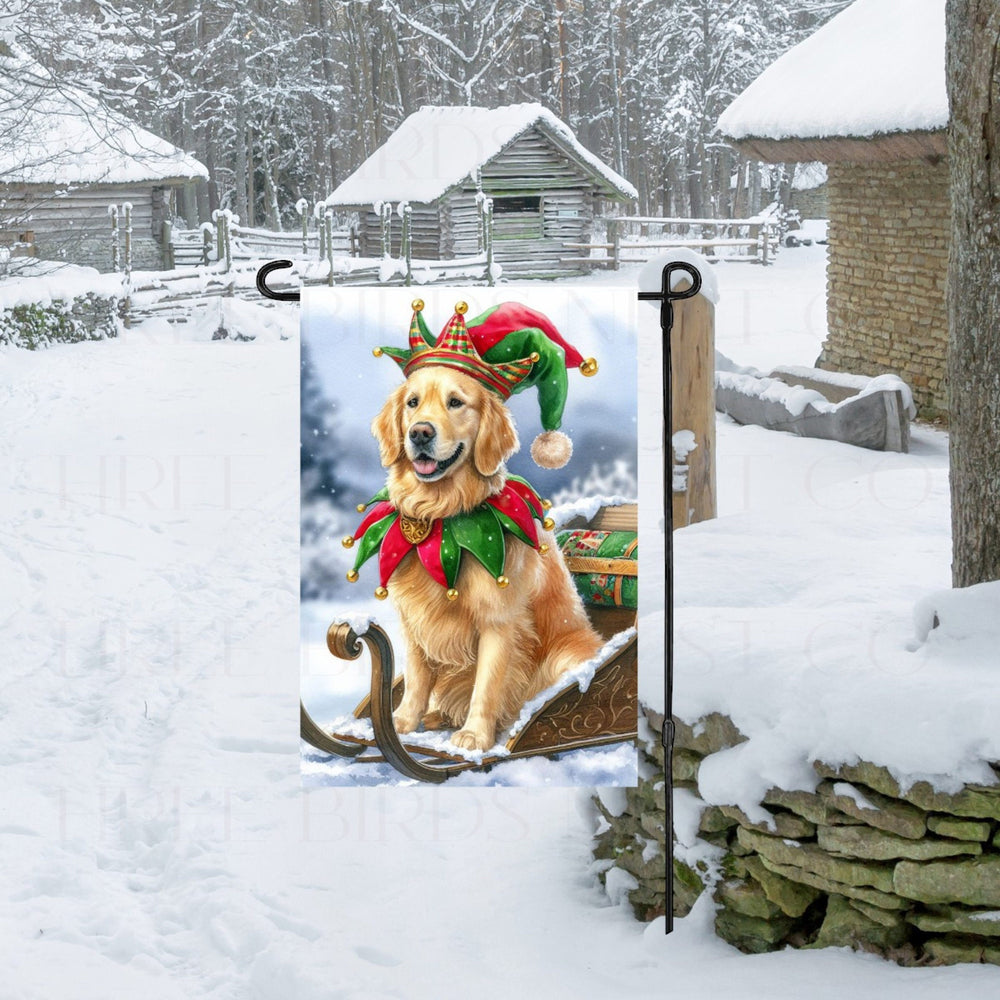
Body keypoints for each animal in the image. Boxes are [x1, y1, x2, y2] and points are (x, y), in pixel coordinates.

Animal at [370, 364, 596, 748]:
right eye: (413, 402)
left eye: (456, 402)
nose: (420, 433)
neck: (445, 521)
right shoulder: (415, 621)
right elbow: (416, 677)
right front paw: (402, 721)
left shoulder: (498, 621)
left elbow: (487, 685)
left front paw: (475, 735)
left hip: (565, 657)